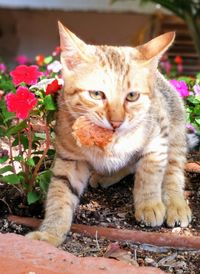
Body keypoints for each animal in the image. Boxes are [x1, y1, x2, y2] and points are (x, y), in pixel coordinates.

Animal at [25, 22, 191, 246]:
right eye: (96, 94)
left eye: (132, 96)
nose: (116, 122)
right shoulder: (71, 159)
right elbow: (60, 195)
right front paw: (50, 232)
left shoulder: (158, 138)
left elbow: (150, 173)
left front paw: (148, 204)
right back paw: (105, 175)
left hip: (175, 132)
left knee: (172, 171)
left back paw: (175, 204)